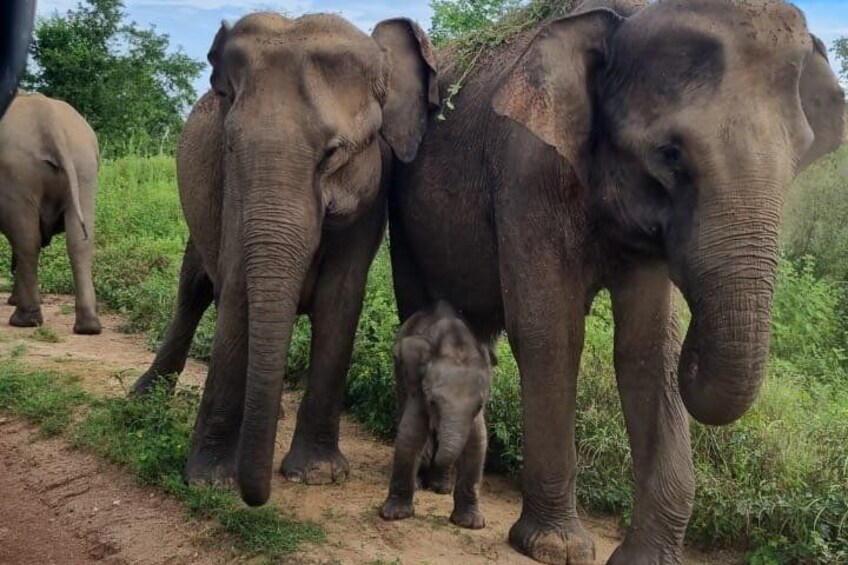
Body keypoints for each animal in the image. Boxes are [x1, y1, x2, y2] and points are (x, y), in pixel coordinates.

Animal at [0, 91, 101, 335]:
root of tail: (51, 123)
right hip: (85, 167)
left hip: (15, 172)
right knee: (80, 242)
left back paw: (24, 321)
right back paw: (88, 327)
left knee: (26, 241)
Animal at [129, 12, 439, 506]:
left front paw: (318, 476)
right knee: (194, 291)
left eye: (333, 154)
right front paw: (211, 480)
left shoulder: (374, 192)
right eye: (230, 145)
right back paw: (144, 400)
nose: (256, 496)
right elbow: (237, 287)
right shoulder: (233, 188)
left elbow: (339, 300)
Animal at [380, 300, 494, 530]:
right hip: (399, 372)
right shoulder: (419, 389)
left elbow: (477, 445)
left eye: (479, 406)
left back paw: (440, 488)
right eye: (432, 402)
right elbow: (410, 435)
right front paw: (394, 515)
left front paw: (471, 524)